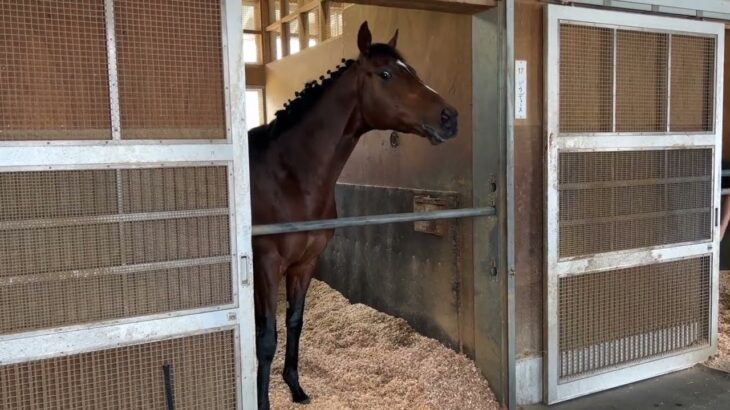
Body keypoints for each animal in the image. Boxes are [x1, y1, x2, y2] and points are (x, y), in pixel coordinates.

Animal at [247, 20, 458, 408]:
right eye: (385, 74)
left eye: (412, 71)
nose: (450, 118)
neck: (289, 175)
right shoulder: (266, 263)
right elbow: (266, 336)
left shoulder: (306, 262)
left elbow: (295, 321)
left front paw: (296, 387)